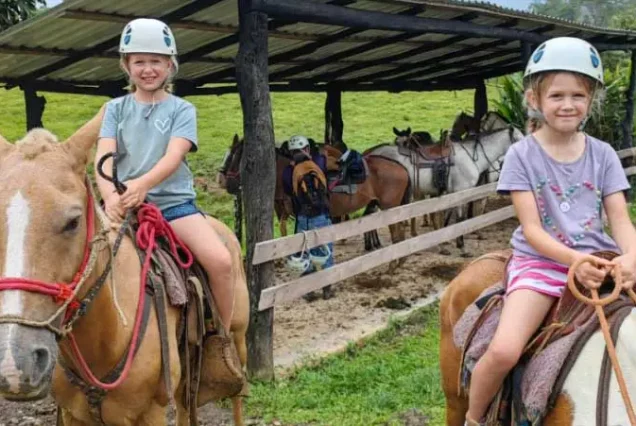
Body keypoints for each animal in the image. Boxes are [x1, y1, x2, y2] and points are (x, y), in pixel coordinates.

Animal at [0, 111, 251, 424]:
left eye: (73, 222)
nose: (15, 364)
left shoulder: (151, 413)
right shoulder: (72, 414)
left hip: (238, 339)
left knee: (237, 392)